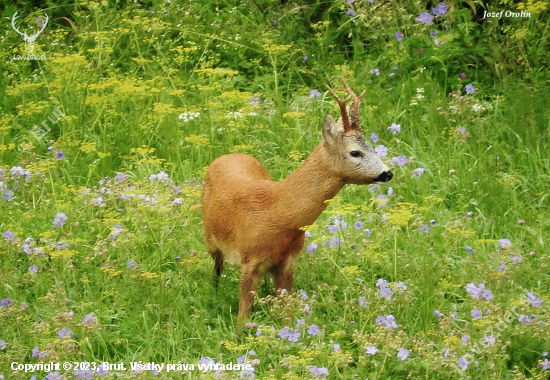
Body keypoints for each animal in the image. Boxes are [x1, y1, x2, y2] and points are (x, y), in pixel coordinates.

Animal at [202, 78, 392, 322]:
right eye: (355, 152)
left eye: (370, 146)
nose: (388, 173)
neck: (278, 215)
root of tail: (227, 154)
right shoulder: (248, 259)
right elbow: (243, 317)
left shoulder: (288, 262)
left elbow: (288, 316)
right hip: (210, 236)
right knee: (217, 268)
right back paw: (214, 293)